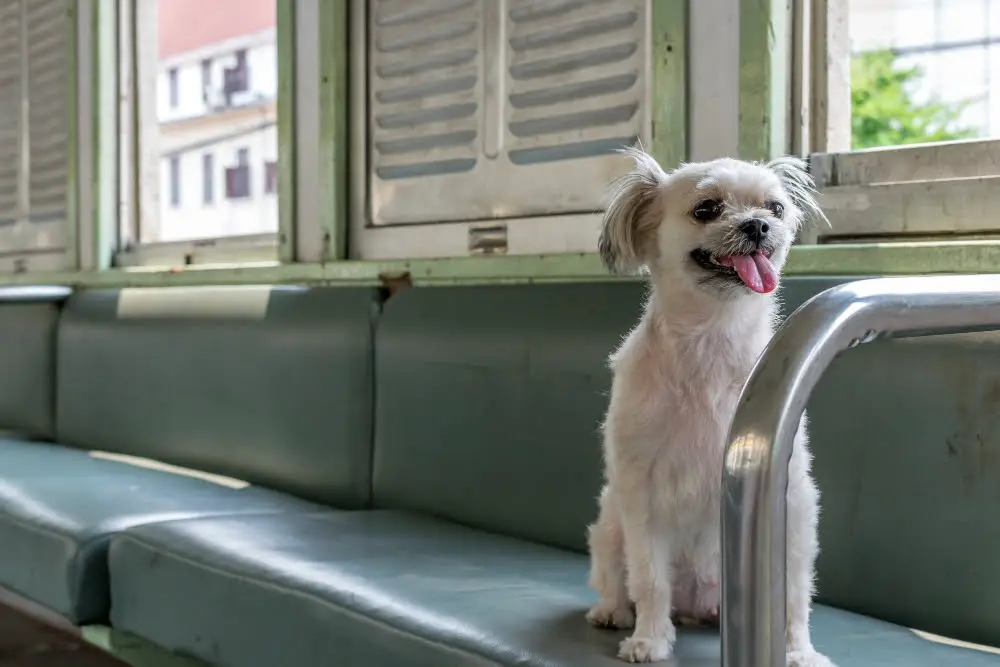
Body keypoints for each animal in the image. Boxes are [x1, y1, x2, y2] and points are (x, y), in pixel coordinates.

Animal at [584, 147, 836, 667]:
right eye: (707, 209)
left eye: (775, 208)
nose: (758, 225)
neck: (713, 341)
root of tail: (697, 603)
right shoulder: (641, 497)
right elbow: (649, 580)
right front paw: (650, 640)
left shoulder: (794, 506)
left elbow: (794, 597)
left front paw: (798, 651)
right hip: (610, 526)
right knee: (619, 581)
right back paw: (613, 611)